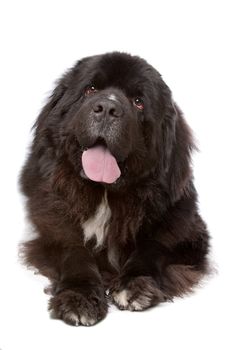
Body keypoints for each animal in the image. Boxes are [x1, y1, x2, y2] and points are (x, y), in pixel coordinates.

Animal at [19, 51, 209, 326]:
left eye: (138, 102)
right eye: (90, 89)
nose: (108, 108)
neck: (105, 194)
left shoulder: (186, 232)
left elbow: (153, 246)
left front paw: (135, 285)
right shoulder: (52, 228)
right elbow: (74, 251)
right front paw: (80, 296)